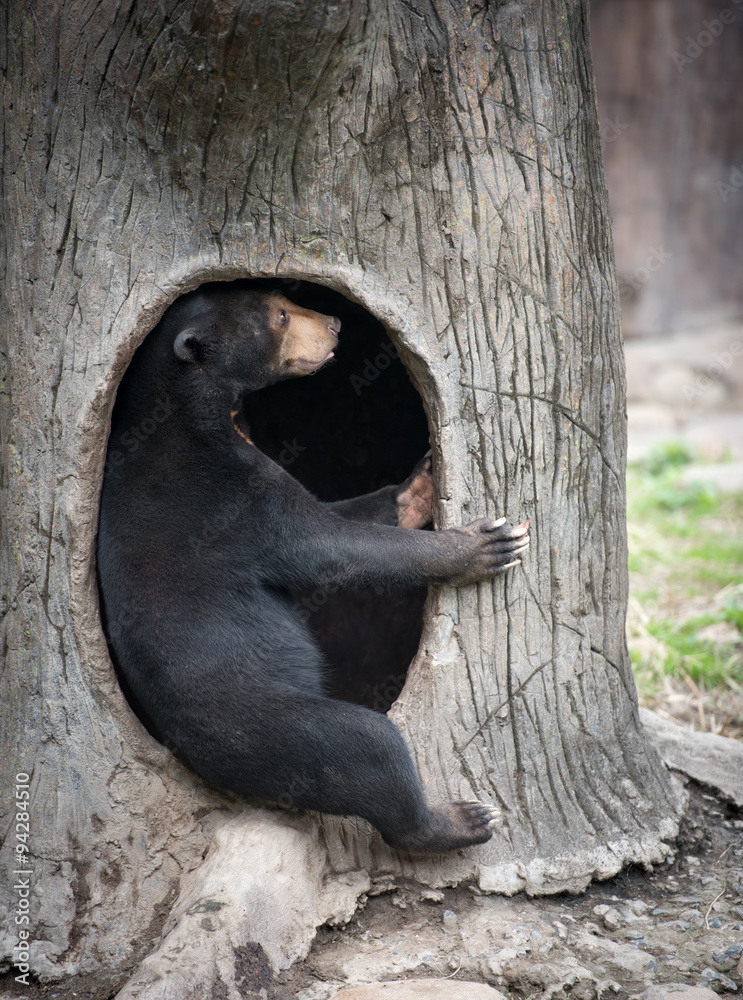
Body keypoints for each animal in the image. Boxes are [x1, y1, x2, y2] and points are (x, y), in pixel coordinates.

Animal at [97, 282, 528, 852]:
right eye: (281, 316)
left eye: (283, 297)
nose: (336, 323)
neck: (194, 406)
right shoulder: (229, 493)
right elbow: (328, 545)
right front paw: (486, 544)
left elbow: (345, 515)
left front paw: (423, 479)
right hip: (274, 726)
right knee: (369, 750)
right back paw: (463, 819)